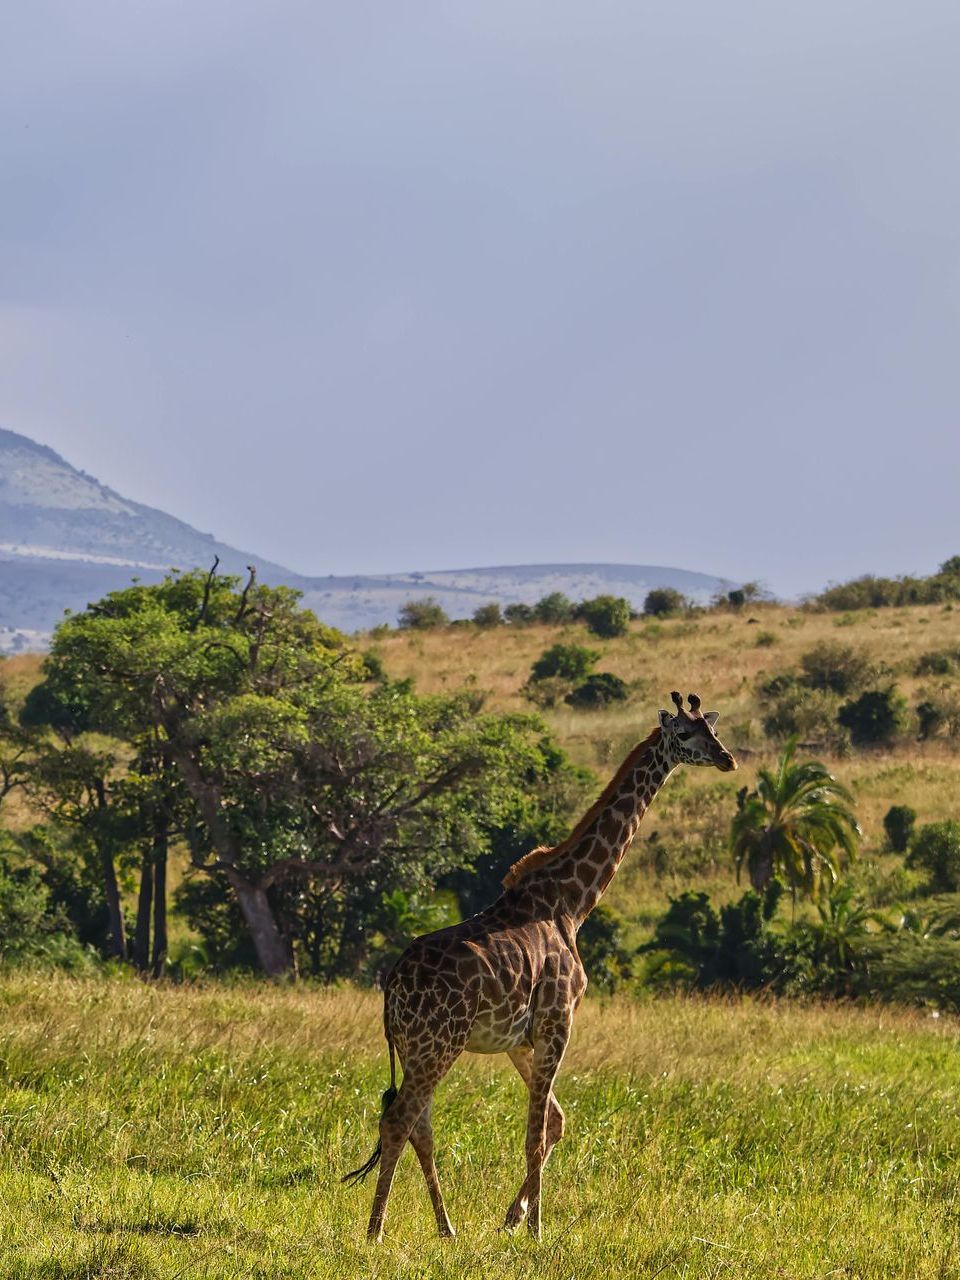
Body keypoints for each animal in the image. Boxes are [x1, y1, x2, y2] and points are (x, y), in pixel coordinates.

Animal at [343, 691, 742, 1239]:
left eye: (713, 730)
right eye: (684, 734)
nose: (727, 759)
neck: (572, 903)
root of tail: (391, 988)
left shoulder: (520, 1038)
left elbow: (554, 1122)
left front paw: (513, 1219)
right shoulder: (559, 1022)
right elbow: (536, 1132)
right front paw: (535, 1230)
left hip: (414, 1047)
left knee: (418, 1124)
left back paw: (446, 1228)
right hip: (437, 1043)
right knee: (400, 1119)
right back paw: (375, 1231)